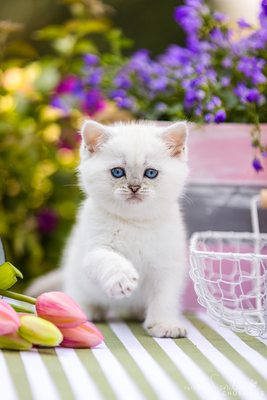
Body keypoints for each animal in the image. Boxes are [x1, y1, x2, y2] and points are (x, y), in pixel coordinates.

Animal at [61, 119, 191, 338]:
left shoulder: (167, 264)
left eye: (151, 173)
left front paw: (164, 323)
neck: (135, 223)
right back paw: (85, 311)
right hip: (75, 281)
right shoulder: (91, 251)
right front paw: (121, 278)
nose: (134, 187)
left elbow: (164, 295)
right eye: (117, 172)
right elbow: (105, 259)